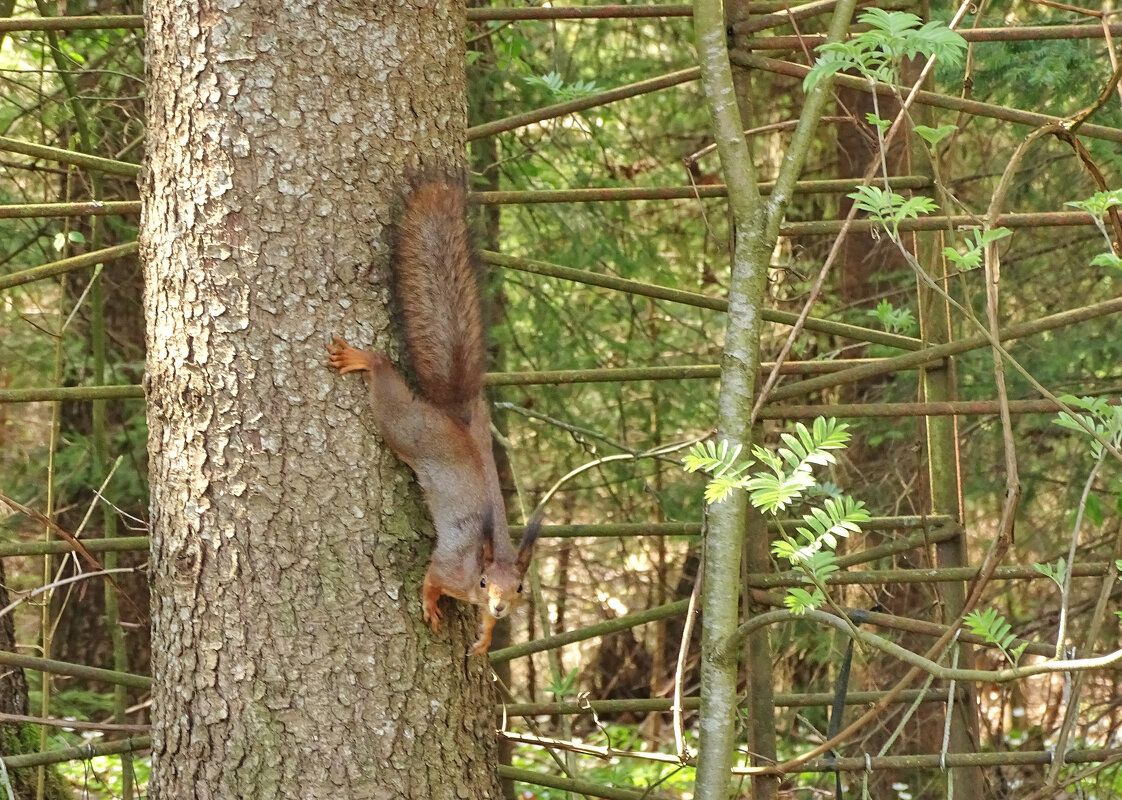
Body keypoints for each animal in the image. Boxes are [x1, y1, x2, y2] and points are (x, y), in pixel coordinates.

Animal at [327, 178, 540, 650]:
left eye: (519, 588)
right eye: (483, 583)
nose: (499, 606)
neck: (482, 557)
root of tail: (456, 419)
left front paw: (485, 638)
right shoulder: (449, 568)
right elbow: (429, 578)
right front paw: (430, 606)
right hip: (406, 427)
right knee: (387, 387)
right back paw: (365, 359)